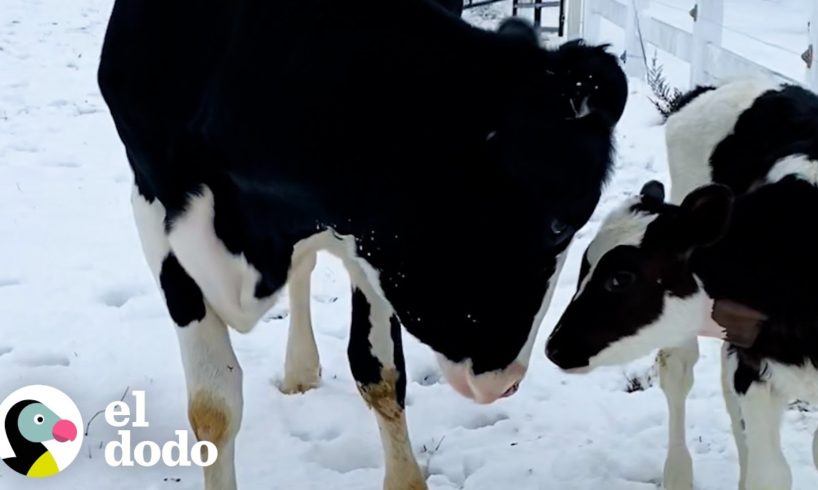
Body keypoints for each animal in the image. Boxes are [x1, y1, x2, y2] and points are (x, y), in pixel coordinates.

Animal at [99, 0, 620, 490]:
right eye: (558, 225)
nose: (506, 382)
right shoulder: (154, 206)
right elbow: (214, 408)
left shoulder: (363, 234)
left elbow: (380, 373)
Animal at [544, 80, 818, 490]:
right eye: (585, 265)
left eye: (620, 278)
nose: (554, 347)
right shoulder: (754, 369)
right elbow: (771, 473)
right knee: (679, 371)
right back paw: (677, 474)